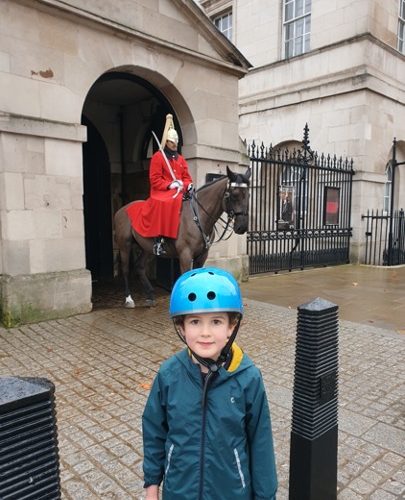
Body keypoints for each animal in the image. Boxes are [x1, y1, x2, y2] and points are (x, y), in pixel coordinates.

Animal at [113, 166, 249, 306]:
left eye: (248, 195)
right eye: (234, 194)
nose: (242, 226)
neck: (198, 218)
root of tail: (121, 210)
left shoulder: (202, 256)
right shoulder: (185, 255)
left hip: (147, 248)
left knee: (139, 267)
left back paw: (150, 295)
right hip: (125, 245)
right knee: (125, 269)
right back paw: (129, 299)